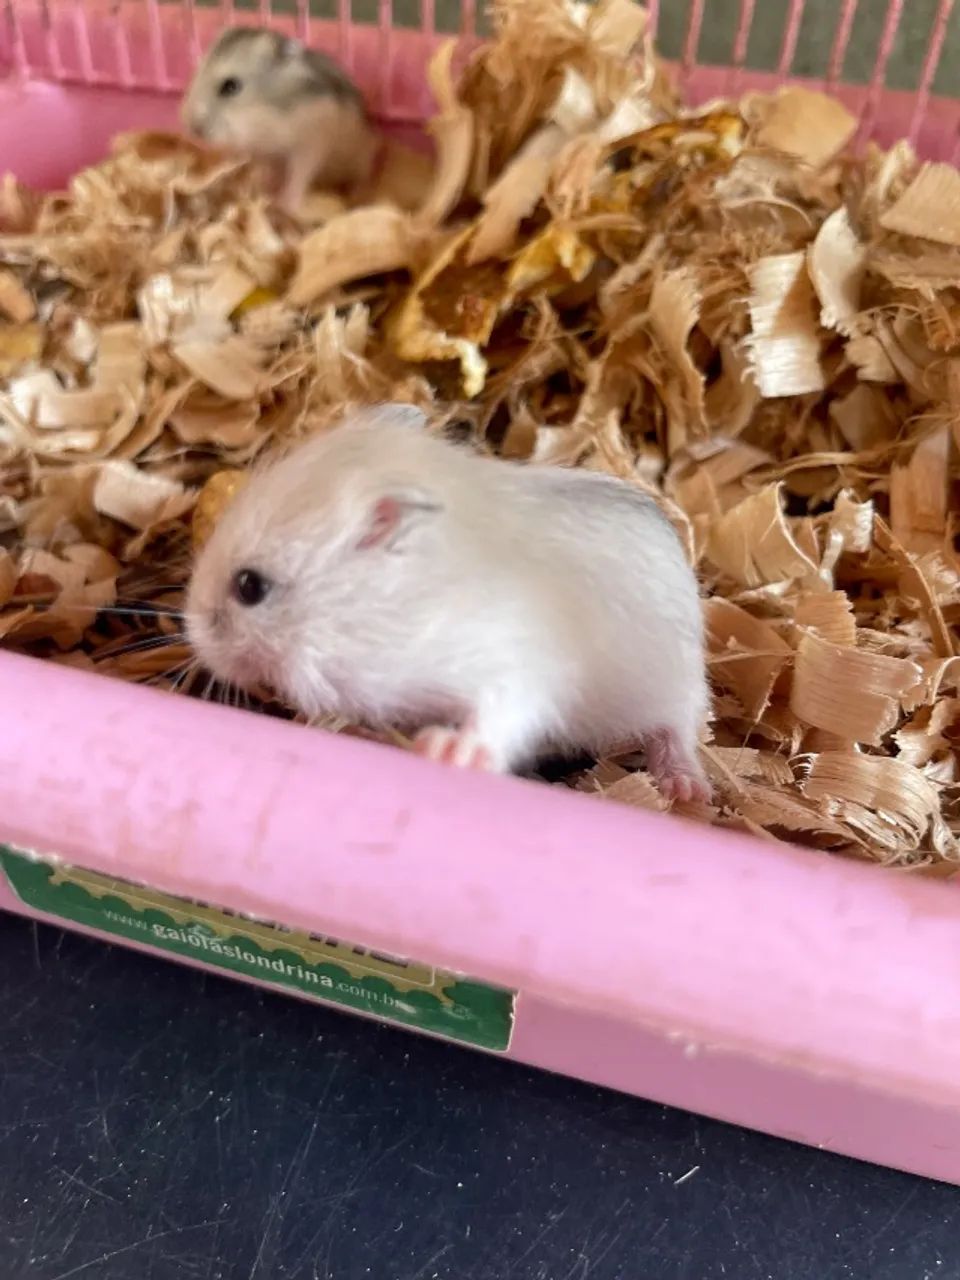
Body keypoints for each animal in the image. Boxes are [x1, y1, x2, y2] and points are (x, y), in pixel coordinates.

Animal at [181, 26, 380, 211]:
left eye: (231, 86)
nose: (194, 129)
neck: (266, 117)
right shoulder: (263, 152)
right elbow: (265, 169)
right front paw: (261, 187)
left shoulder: (309, 145)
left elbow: (299, 176)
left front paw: (285, 204)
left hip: (361, 155)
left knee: (363, 173)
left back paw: (358, 194)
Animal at [185, 406, 711, 802]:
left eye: (249, 586)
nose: (192, 636)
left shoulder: (515, 663)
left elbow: (500, 712)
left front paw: (444, 750)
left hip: (672, 683)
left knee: (679, 727)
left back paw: (686, 789)